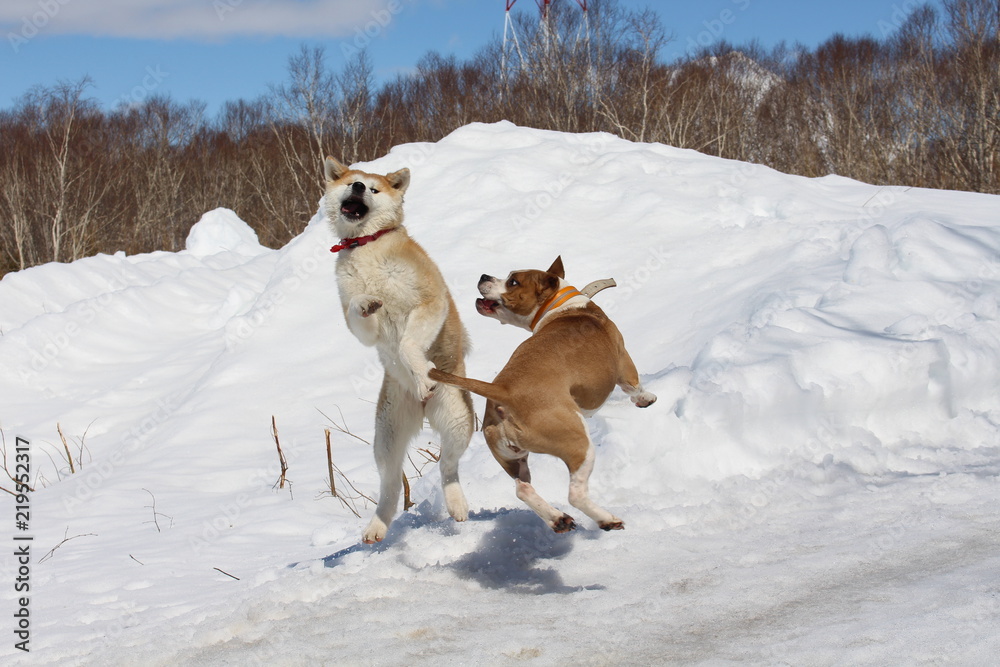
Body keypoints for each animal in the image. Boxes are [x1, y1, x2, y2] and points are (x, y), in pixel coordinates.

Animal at [322, 159, 474, 544]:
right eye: (351, 182)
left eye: (373, 188)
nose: (358, 187)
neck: (367, 246)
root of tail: (421, 410)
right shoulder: (362, 324)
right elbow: (357, 310)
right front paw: (366, 301)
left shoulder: (430, 301)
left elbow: (407, 344)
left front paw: (420, 371)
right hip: (387, 434)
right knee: (390, 483)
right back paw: (377, 525)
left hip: (457, 417)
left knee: (447, 466)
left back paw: (456, 503)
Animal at [430, 256, 656, 532]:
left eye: (513, 281)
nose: (484, 276)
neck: (564, 306)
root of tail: (503, 390)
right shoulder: (624, 362)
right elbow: (635, 385)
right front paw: (646, 399)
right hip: (577, 442)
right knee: (575, 494)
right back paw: (607, 519)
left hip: (513, 458)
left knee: (523, 489)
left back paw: (558, 518)